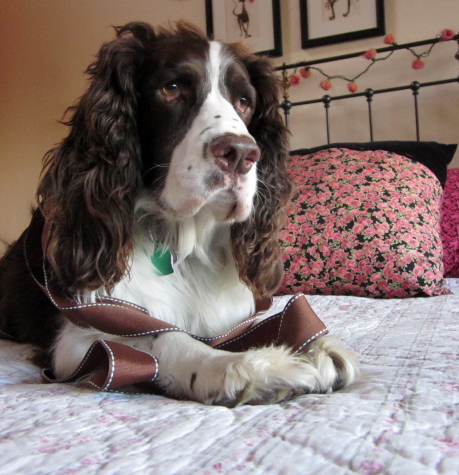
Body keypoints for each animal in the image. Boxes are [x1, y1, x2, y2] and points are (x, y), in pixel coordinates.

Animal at [0, 22, 360, 408]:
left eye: (244, 102)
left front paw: (314, 346)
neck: (182, 246)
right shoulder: (79, 338)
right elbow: (164, 338)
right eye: (171, 89)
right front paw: (249, 368)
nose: (241, 154)